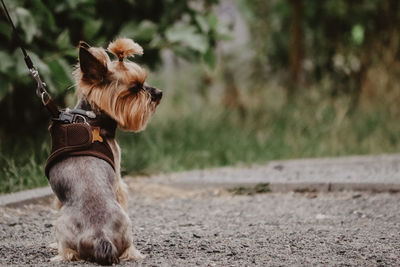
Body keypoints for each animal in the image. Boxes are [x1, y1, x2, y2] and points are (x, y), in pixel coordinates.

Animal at [45, 38, 161, 266]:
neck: (90, 118)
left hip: (62, 222)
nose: (158, 93)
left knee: (71, 252)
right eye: (135, 88)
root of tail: (100, 235)